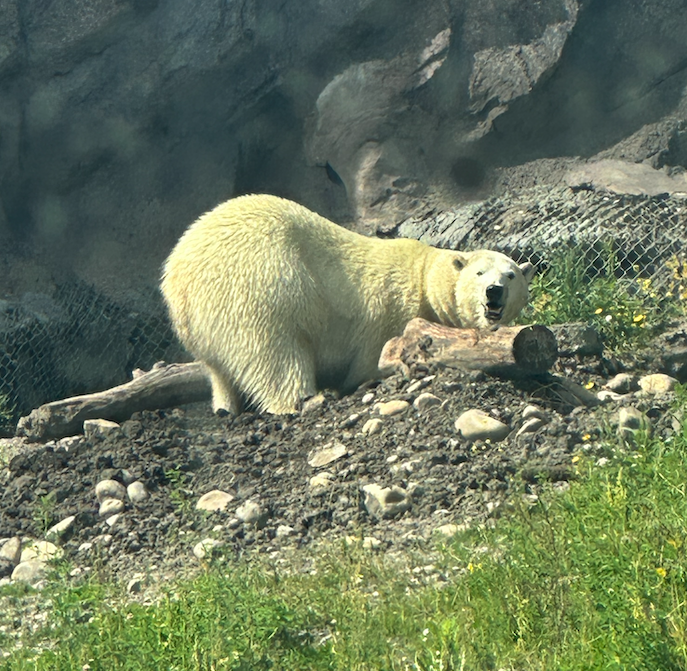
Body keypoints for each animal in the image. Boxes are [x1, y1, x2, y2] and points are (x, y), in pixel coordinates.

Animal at [161, 194, 534, 415]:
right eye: (480, 272)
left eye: (511, 275)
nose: (494, 292)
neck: (424, 276)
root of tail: (179, 275)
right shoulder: (388, 314)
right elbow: (374, 356)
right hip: (261, 282)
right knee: (275, 353)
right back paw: (304, 400)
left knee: (220, 370)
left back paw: (226, 407)